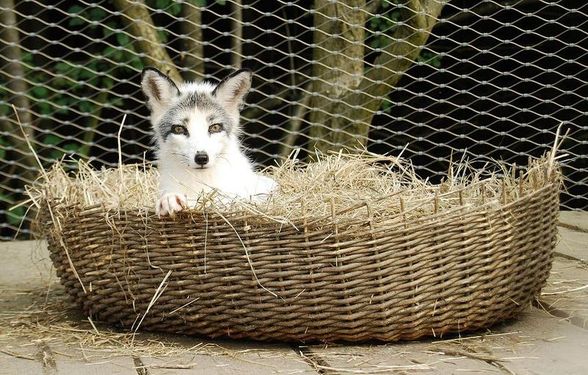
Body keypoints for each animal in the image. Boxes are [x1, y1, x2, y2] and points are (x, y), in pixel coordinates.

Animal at [143, 67, 280, 217]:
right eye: (179, 129)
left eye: (215, 127)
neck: (201, 181)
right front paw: (170, 199)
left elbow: (221, 201)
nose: (202, 158)